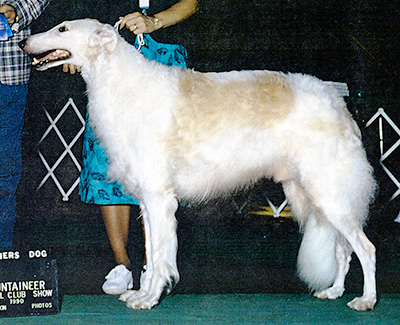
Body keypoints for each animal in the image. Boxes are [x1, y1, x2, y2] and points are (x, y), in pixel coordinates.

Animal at [21, 19, 378, 308]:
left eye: (62, 29)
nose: (23, 41)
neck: (119, 79)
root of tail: (336, 102)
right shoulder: (147, 201)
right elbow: (153, 251)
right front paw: (141, 294)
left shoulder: (159, 197)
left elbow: (161, 255)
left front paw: (149, 299)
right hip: (318, 195)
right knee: (343, 250)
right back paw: (334, 291)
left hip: (328, 192)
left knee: (366, 248)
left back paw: (366, 300)